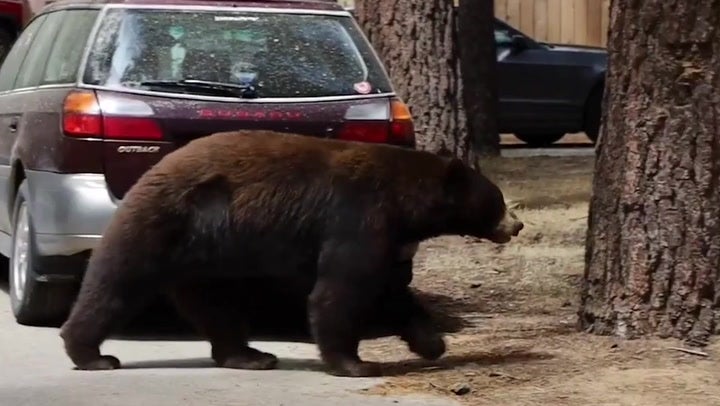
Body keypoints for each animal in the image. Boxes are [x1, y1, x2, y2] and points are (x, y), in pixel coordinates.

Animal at [59, 129, 524, 377]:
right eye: (498, 201)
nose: (517, 225)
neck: (405, 204)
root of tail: (148, 173)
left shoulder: (390, 242)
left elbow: (391, 292)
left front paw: (432, 343)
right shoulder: (358, 219)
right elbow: (341, 291)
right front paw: (355, 363)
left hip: (205, 255)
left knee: (214, 306)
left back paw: (250, 355)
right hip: (163, 225)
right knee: (117, 282)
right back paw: (93, 354)